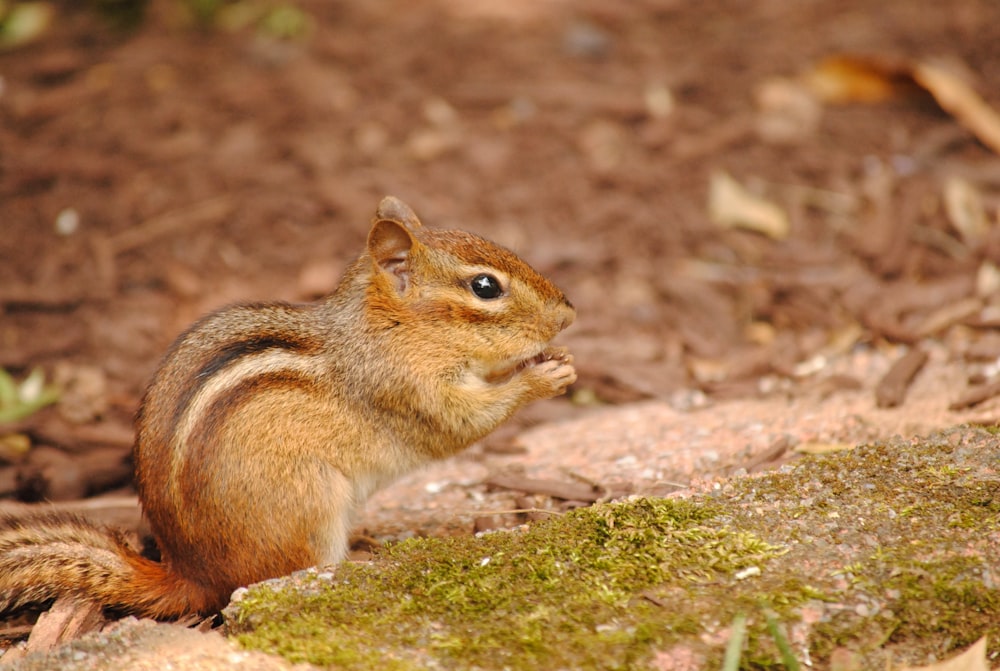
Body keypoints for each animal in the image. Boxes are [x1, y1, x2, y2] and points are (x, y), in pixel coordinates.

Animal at [0, 198, 580, 620]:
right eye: (485, 287)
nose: (569, 315)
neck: (389, 329)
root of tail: (192, 575)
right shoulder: (409, 391)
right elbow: (463, 423)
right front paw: (542, 377)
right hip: (311, 501)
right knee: (281, 577)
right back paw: (359, 562)